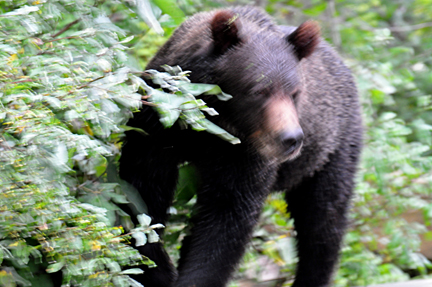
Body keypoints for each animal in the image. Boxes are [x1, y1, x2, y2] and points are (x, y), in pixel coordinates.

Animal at [120, 5, 362, 287]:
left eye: (295, 92)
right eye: (258, 90)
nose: (291, 138)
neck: (211, 125)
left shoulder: (244, 155)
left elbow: (226, 219)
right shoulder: (160, 124)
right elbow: (142, 194)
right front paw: (157, 270)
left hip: (331, 150)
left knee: (323, 221)